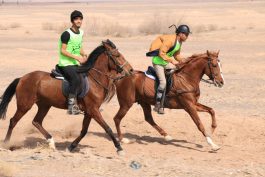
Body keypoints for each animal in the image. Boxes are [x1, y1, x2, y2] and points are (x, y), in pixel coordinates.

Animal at [0, 40, 132, 155]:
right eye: (117, 55)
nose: (130, 70)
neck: (94, 79)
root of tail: (22, 78)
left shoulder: (89, 111)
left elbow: (84, 131)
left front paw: (71, 147)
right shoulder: (93, 110)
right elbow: (107, 128)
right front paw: (119, 148)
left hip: (44, 105)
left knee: (36, 121)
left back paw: (51, 142)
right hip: (25, 105)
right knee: (13, 121)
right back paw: (6, 144)